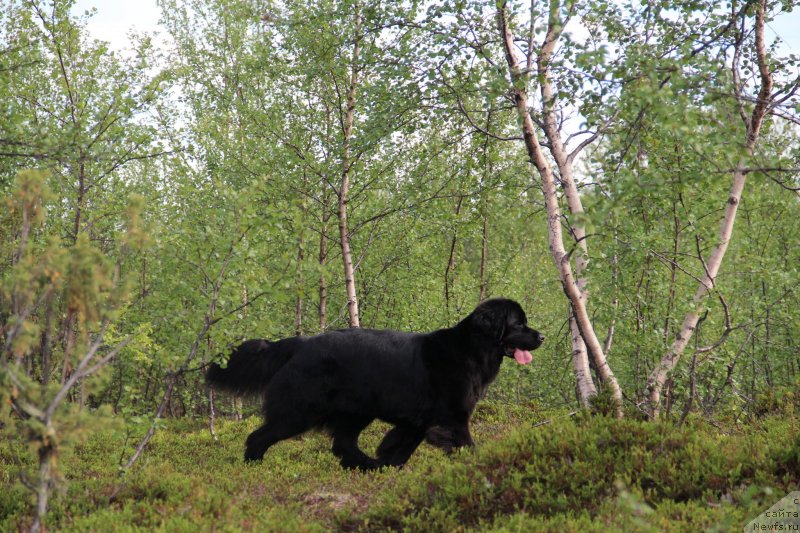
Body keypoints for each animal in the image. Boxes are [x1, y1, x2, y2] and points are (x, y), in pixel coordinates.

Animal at [206, 298, 544, 468]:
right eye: (519, 324)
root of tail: (301, 343)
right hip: (300, 410)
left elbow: (401, 446)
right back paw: (253, 465)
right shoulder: (453, 417)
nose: (542, 336)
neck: (472, 349)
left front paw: (388, 464)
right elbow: (466, 444)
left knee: (343, 445)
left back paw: (366, 465)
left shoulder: (418, 420)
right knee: (259, 436)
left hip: (356, 411)